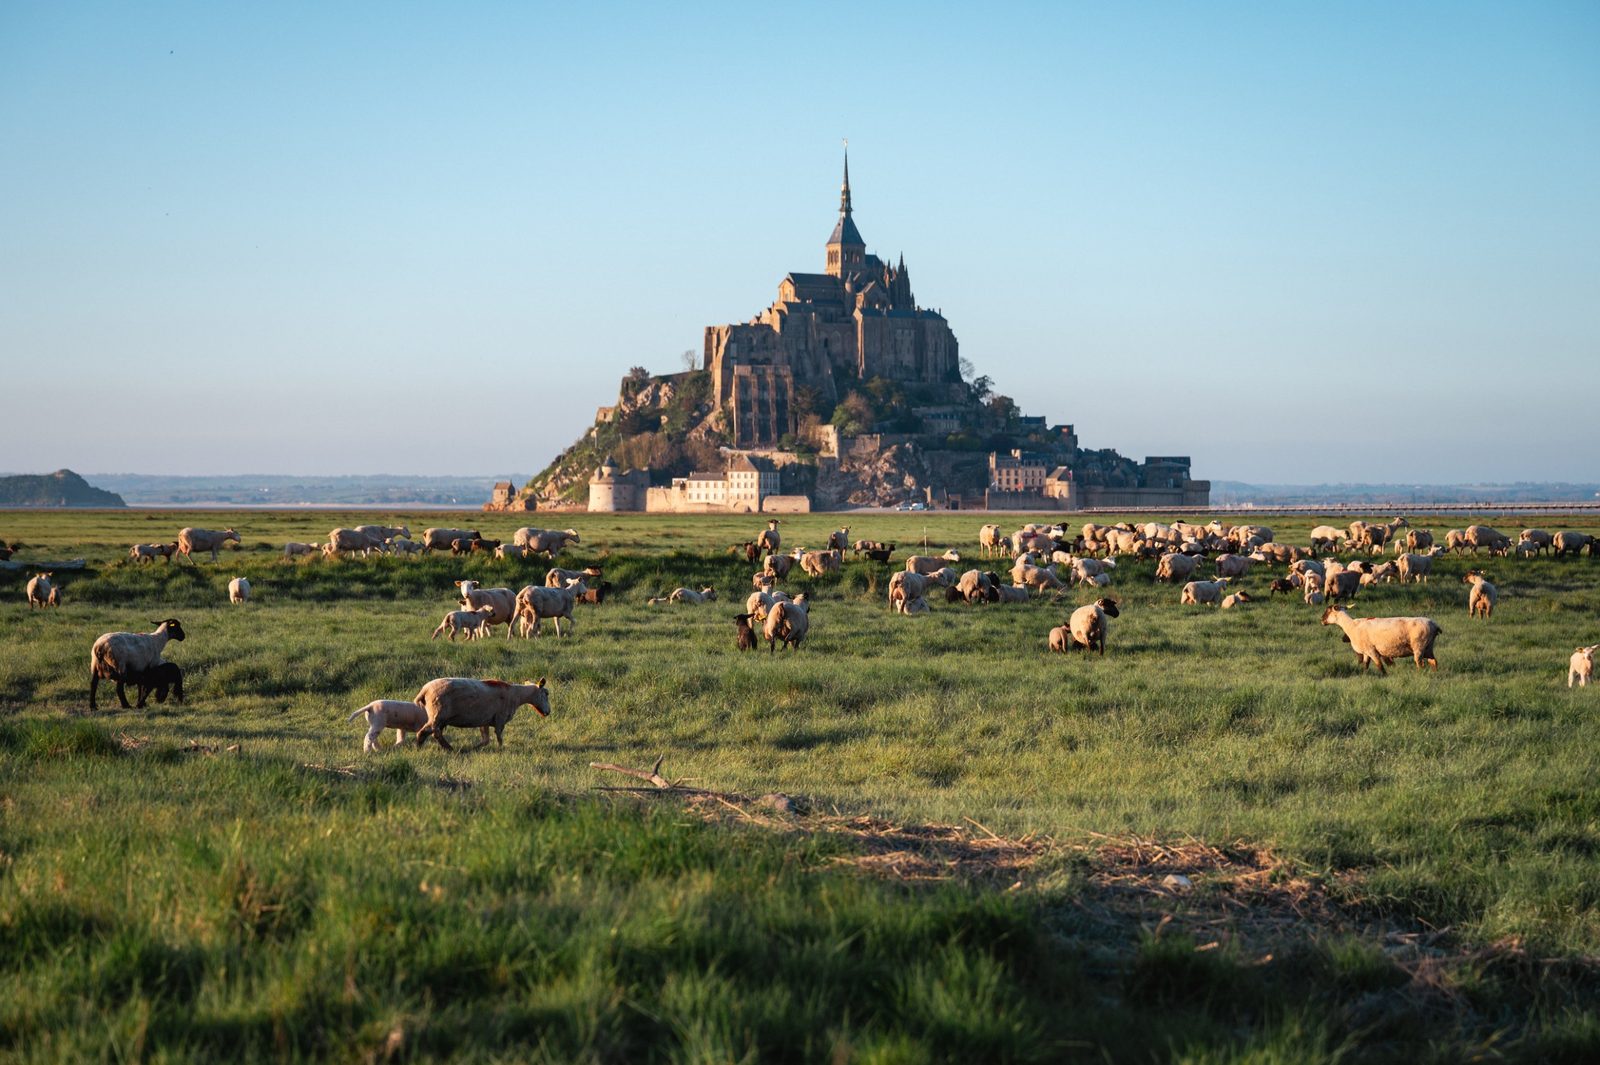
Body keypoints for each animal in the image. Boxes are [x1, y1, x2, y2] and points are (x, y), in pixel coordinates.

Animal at [412, 677, 550, 751]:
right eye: (546, 693)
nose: (548, 712)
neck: (517, 695)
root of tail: (424, 690)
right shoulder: (500, 719)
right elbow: (499, 737)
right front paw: (501, 750)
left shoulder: (485, 720)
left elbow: (486, 740)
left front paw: (473, 748)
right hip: (438, 714)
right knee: (427, 732)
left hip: (439, 717)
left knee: (433, 733)